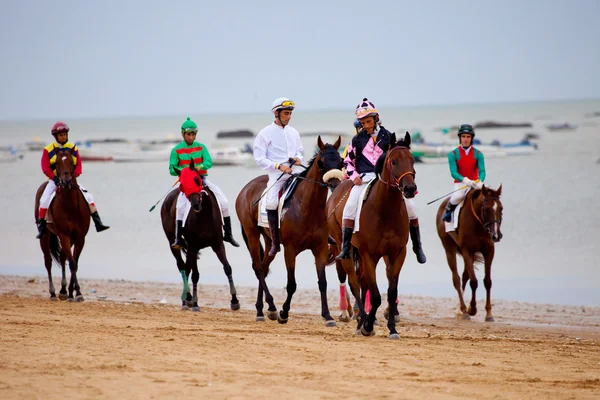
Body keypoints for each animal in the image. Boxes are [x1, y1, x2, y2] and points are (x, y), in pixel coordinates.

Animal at [33, 148, 90, 302]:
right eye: (57, 162)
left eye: (71, 161)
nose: (66, 181)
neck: (71, 207)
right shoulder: (64, 234)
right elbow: (72, 263)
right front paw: (78, 293)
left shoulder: (79, 237)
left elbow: (74, 262)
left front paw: (72, 292)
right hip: (45, 234)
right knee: (48, 261)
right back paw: (53, 293)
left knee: (63, 256)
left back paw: (64, 290)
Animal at [164, 159, 241, 310]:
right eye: (182, 184)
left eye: (196, 179)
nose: (195, 204)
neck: (204, 216)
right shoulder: (193, 246)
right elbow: (195, 275)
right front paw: (195, 303)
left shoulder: (218, 244)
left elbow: (227, 268)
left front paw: (234, 300)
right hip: (172, 242)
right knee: (182, 266)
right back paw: (186, 300)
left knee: (187, 267)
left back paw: (187, 299)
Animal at [237, 136, 344, 326]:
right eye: (321, 163)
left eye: (341, 161)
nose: (335, 184)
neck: (307, 207)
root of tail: (246, 189)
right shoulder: (290, 250)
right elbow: (292, 284)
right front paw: (284, 313)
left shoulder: (320, 249)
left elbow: (322, 282)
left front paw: (328, 316)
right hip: (252, 235)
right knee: (258, 268)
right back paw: (270, 307)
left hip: (270, 241)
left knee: (263, 267)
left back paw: (261, 309)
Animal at [328, 133, 418, 340]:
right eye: (394, 161)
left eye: (412, 160)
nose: (410, 189)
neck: (385, 211)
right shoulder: (369, 254)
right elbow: (376, 295)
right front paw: (367, 326)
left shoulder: (397, 253)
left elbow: (391, 292)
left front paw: (392, 329)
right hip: (344, 249)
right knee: (354, 283)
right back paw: (361, 322)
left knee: (362, 283)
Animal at [436, 185, 502, 322]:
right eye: (486, 209)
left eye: (501, 208)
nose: (496, 235)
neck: (479, 225)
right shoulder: (467, 250)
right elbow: (474, 281)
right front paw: (472, 309)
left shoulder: (489, 251)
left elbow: (487, 281)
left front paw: (489, 314)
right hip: (449, 248)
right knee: (456, 278)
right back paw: (463, 310)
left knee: (465, 276)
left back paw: (459, 310)